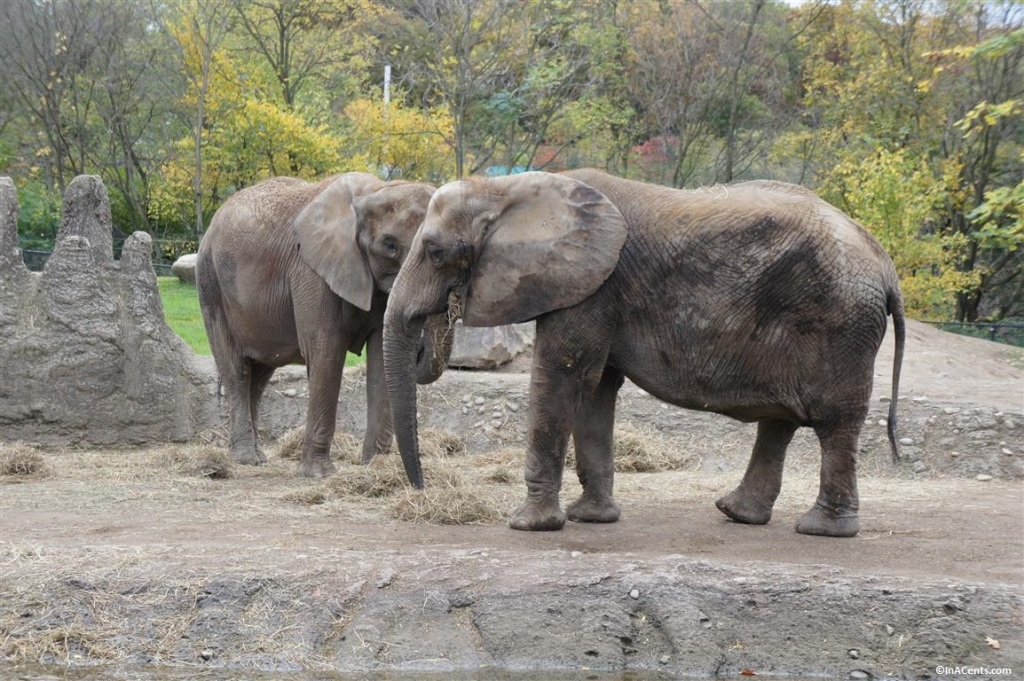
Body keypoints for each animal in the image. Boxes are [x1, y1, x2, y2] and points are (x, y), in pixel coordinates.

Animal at [197, 171, 454, 477]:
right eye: (389, 245)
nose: (420, 348)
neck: (373, 191)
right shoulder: (310, 271)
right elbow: (326, 351)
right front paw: (318, 474)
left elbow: (381, 357)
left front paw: (376, 467)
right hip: (210, 282)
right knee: (237, 371)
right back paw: (246, 459)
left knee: (259, 376)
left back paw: (259, 456)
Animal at [385, 168, 905, 536]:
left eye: (435, 252)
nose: (422, 488)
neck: (507, 188)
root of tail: (886, 267)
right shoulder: (592, 289)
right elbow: (596, 390)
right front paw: (591, 518)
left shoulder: (592, 287)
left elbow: (563, 375)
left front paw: (529, 525)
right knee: (781, 421)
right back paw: (738, 514)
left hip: (840, 324)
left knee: (834, 422)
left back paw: (823, 529)